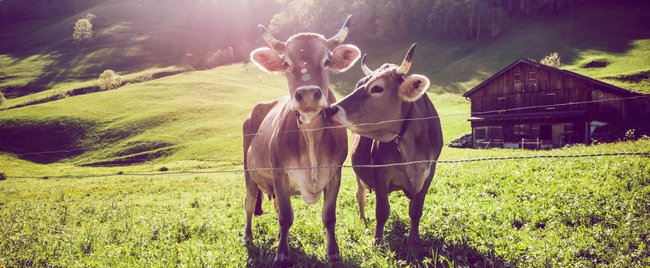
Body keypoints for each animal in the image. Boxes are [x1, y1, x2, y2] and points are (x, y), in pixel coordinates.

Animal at [242, 15, 360, 264]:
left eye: (327, 61)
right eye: (286, 63)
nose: (306, 94)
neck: (311, 135)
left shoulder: (335, 174)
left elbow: (329, 216)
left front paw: (333, 253)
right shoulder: (279, 174)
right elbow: (286, 217)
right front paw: (282, 254)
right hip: (249, 173)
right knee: (248, 203)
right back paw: (248, 236)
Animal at [322, 43, 440, 245]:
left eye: (377, 88)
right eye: (360, 85)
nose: (329, 110)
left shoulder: (429, 173)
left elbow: (416, 210)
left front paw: (414, 239)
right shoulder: (380, 172)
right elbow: (382, 211)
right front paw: (377, 241)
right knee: (360, 194)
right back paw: (363, 219)